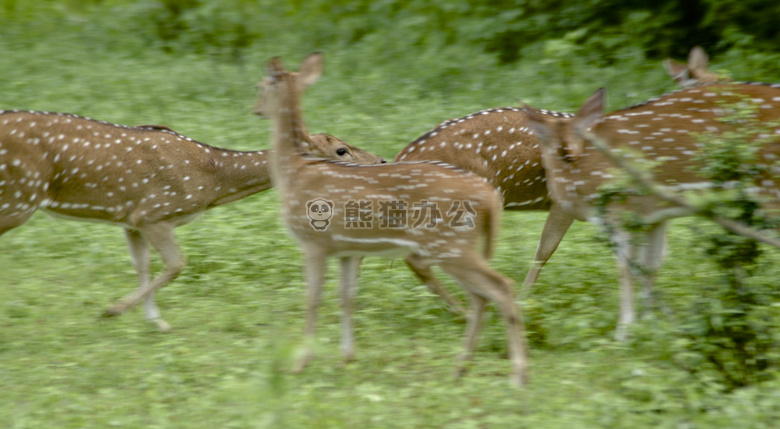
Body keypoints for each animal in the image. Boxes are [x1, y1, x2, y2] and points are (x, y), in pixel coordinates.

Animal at [0, 110, 384, 332]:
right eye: (340, 150)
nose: (381, 160)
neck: (212, 181)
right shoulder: (154, 212)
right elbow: (176, 264)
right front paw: (113, 310)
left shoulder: (131, 218)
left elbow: (143, 265)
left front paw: (155, 321)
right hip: (20, 195)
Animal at [256, 51, 532, 386]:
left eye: (260, 86)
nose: (255, 108)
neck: (293, 170)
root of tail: (490, 197)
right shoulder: (346, 250)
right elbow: (346, 297)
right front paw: (347, 358)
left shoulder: (314, 242)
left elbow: (312, 298)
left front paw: (300, 363)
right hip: (457, 247)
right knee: (481, 297)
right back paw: (460, 368)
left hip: (450, 243)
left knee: (501, 288)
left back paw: (517, 375)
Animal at [520, 83, 780, 338]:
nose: (569, 156)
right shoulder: (652, 216)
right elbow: (651, 265)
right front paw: (653, 325)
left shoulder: (620, 209)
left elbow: (625, 267)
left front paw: (625, 331)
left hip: (769, 188)